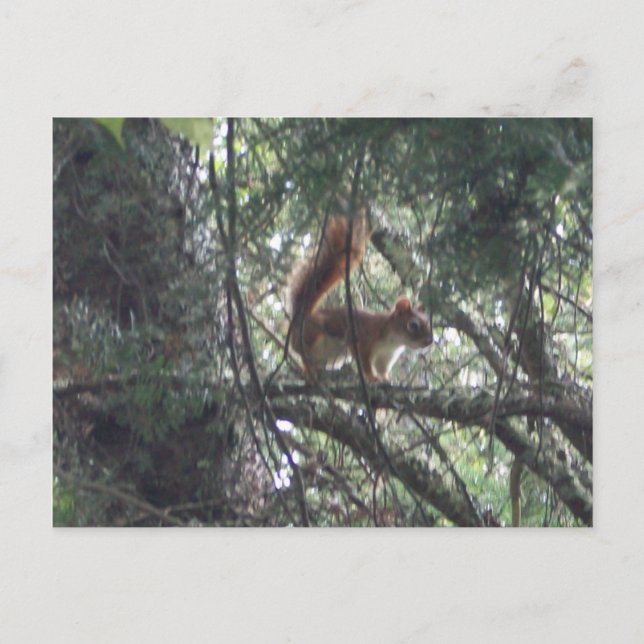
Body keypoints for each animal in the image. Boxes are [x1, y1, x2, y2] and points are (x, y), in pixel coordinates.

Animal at [286, 206, 433, 382]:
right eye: (413, 325)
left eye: (429, 323)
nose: (429, 341)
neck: (392, 339)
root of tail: (301, 317)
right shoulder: (362, 339)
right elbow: (365, 363)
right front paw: (372, 377)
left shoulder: (385, 357)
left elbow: (382, 369)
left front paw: (386, 379)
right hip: (311, 335)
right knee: (303, 353)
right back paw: (309, 369)